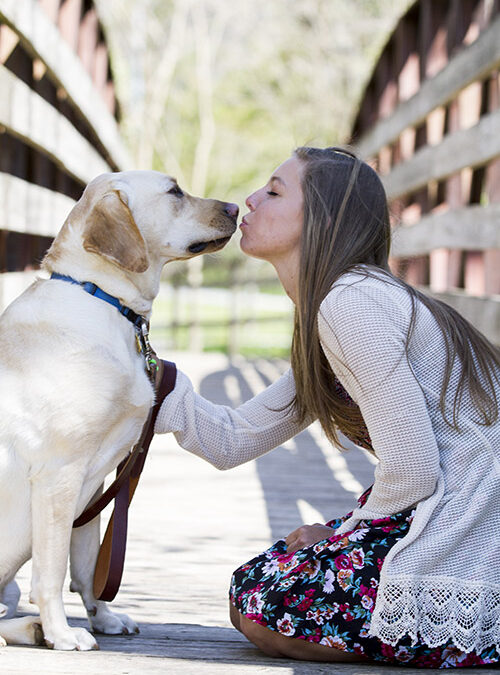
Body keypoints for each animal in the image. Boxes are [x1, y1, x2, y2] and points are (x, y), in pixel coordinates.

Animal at [0, 172, 237, 652]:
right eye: (174, 191)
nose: (238, 208)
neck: (105, 301)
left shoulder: (93, 484)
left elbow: (90, 565)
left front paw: (103, 618)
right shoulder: (59, 474)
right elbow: (52, 569)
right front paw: (62, 632)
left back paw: (30, 629)